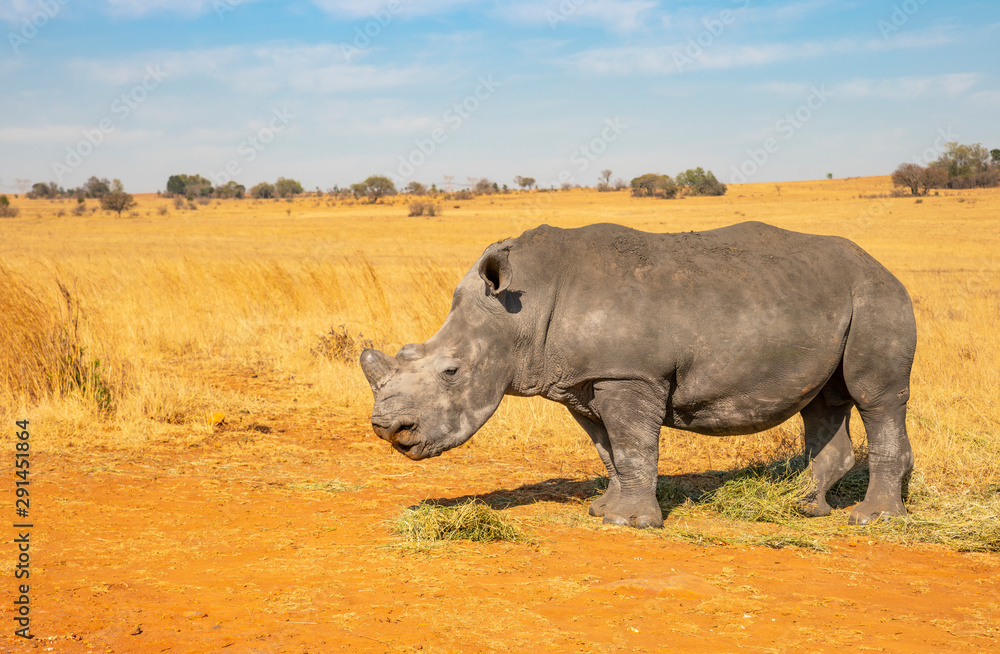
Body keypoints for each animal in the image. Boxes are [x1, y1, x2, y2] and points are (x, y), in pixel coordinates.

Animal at [360, 222, 916, 528]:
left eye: (451, 371)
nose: (389, 430)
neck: (522, 310)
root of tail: (884, 267)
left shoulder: (629, 376)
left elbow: (632, 445)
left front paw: (631, 523)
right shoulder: (583, 382)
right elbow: (609, 449)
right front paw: (603, 511)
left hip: (878, 297)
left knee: (877, 397)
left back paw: (872, 519)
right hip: (827, 299)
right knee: (824, 403)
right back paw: (803, 508)